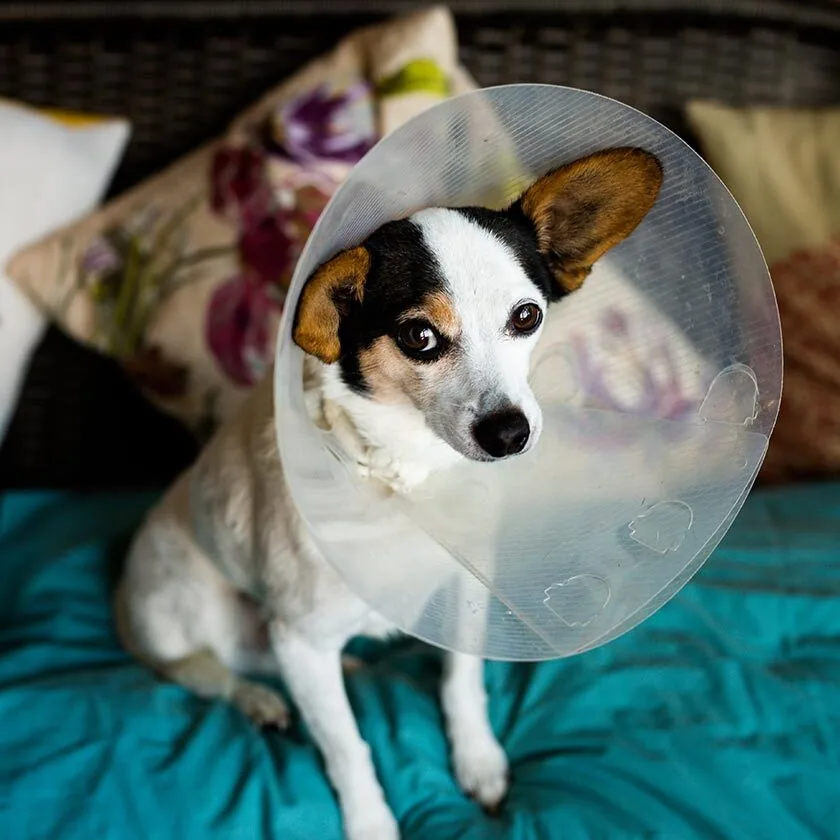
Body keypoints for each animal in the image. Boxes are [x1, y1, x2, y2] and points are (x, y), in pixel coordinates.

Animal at [115, 148, 664, 836]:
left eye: (526, 317)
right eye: (419, 337)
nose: (510, 432)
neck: (408, 469)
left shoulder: (463, 596)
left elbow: (463, 683)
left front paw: (478, 760)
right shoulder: (299, 639)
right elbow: (348, 747)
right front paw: (370, 821)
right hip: (185, 609)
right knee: (204, 671)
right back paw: (261, 699)